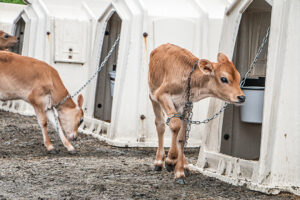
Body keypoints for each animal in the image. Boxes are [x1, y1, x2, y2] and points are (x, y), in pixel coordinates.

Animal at [148, 43, 244, 183]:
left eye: (239, 78)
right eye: (224, 79)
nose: (241, 97)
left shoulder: (186, 106)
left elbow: (182, 138)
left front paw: (179, 171)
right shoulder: (162, 94)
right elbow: (174, 125)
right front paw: (171, 160)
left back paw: (185, 165)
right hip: (153, 96)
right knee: (160, 125)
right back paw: (159, 161)